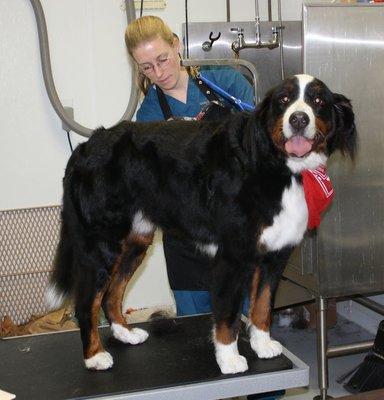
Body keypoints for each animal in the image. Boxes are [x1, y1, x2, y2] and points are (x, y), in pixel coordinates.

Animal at [46, 75, 356, 376]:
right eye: (284, 100)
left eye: (317, 100)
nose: (299, 119)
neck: (280, 167)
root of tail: (87, 145)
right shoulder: (232, 256)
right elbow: (228, 315)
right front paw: (229, 359)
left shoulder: (273, 255)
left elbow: (262, 305)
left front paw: (262, 343)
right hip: (102, 242)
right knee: (88, 301)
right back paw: (95, 357)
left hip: (135, 241)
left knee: (112, 292)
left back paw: (125, 333)